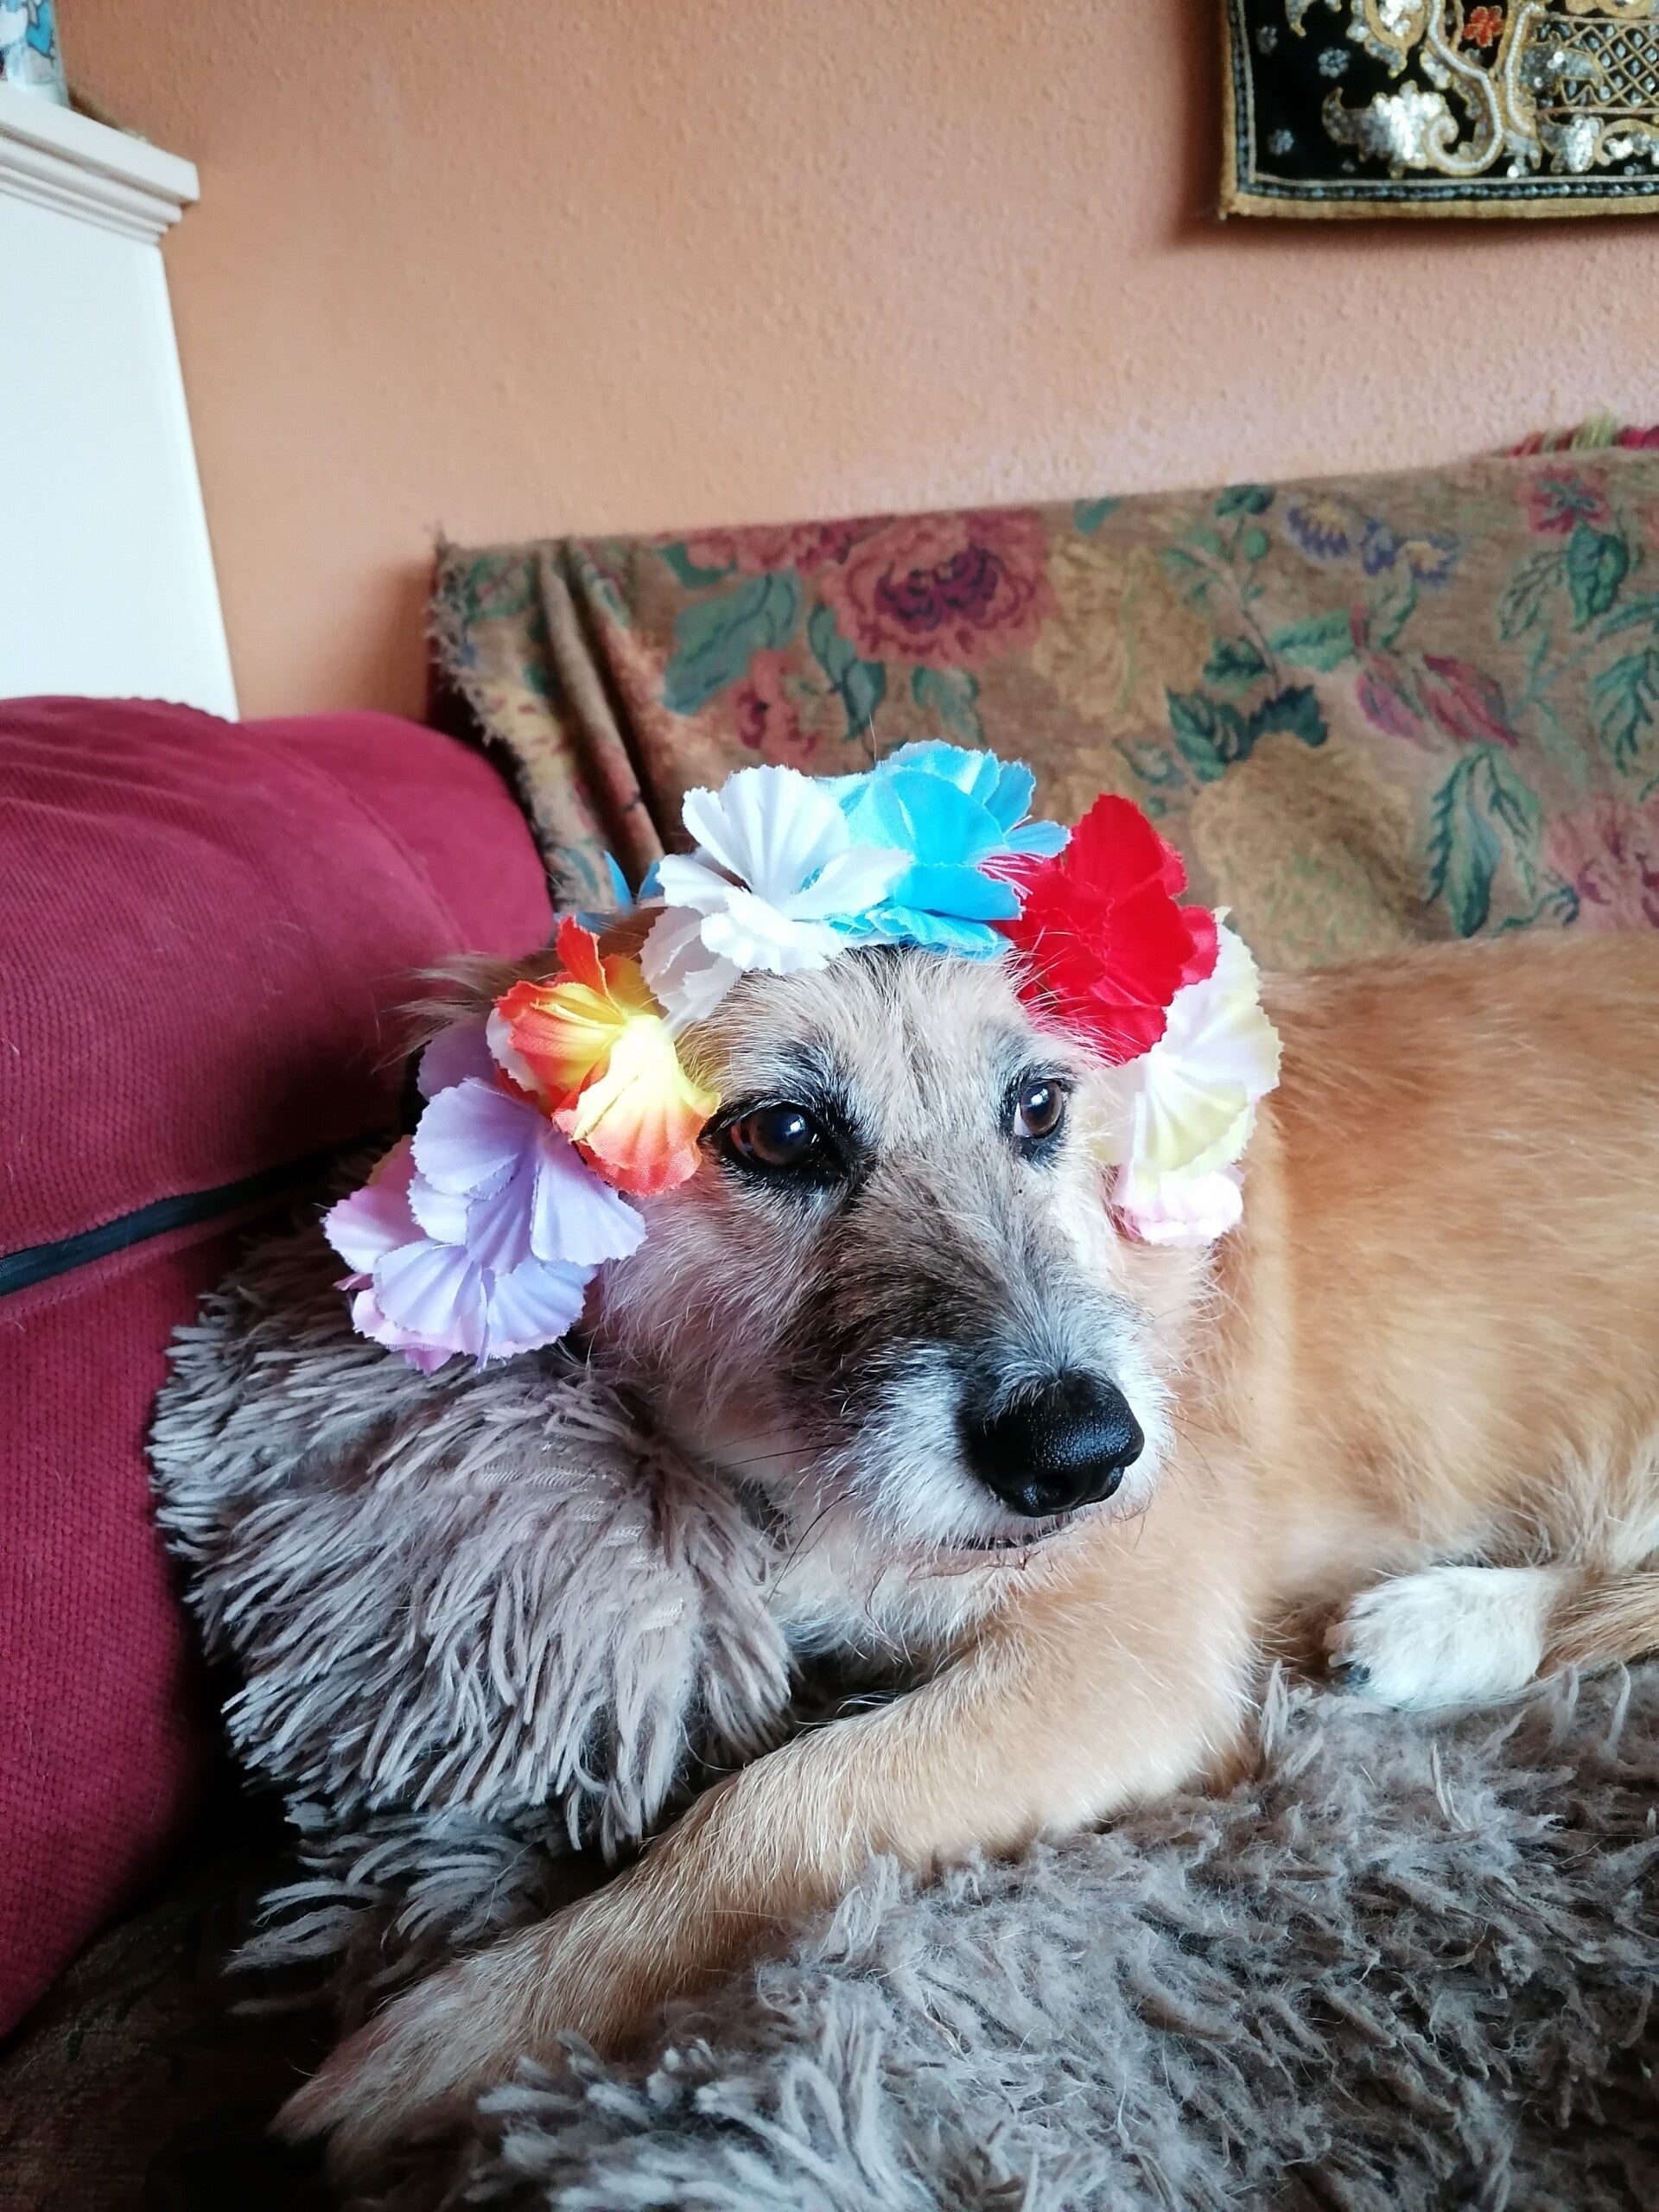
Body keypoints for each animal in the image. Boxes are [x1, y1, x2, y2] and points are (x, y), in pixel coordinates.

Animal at [281, 924, 1659, 2168]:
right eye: (781, 1135)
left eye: (1038, 1106)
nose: (1086, 1453)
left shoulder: (1121, 1663)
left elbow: (779, 1805)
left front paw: (463, 2031)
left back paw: (1439, 1628)